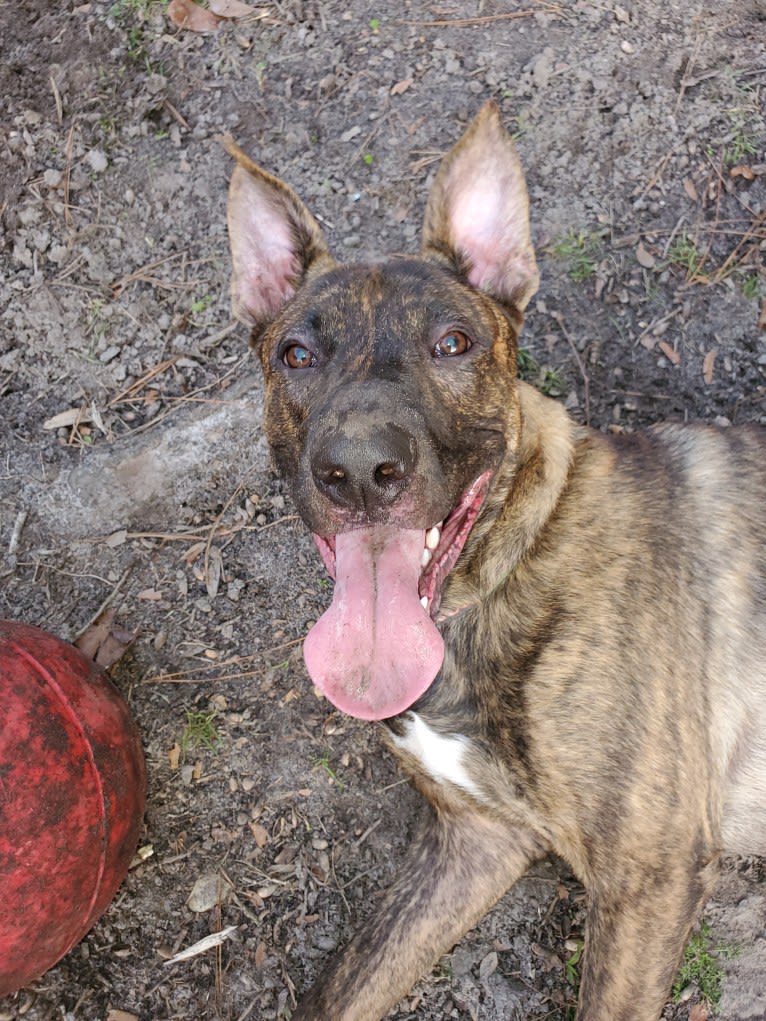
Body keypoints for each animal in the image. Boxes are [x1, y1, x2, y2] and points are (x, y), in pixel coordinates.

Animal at [223, 105, 766, 1021]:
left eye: (454, 342)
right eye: (296, 353)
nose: (360, 471)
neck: (502, 576)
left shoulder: (648, 873)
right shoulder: (474, 839)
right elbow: (342, 988)